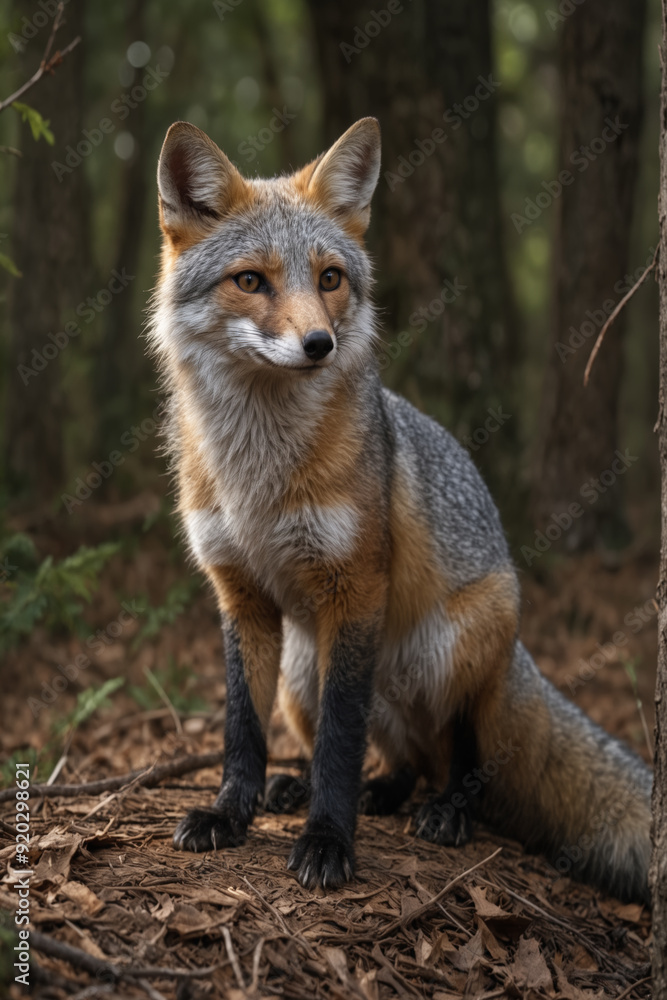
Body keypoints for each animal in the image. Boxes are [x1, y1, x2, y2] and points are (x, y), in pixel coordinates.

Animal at [149, 116, 653, 902]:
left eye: (330, 278)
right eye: (250, 280)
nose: (319, 344)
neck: (257, 480)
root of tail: (522, 659)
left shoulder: (355, 588)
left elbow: (340, 741)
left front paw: (328, 840)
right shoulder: (240, 596)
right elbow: (242, 732)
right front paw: (231, 815)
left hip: (453, 652)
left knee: (462, 753)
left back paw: (445, 811)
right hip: (301, 674)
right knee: (402, 756)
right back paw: (355, 790)